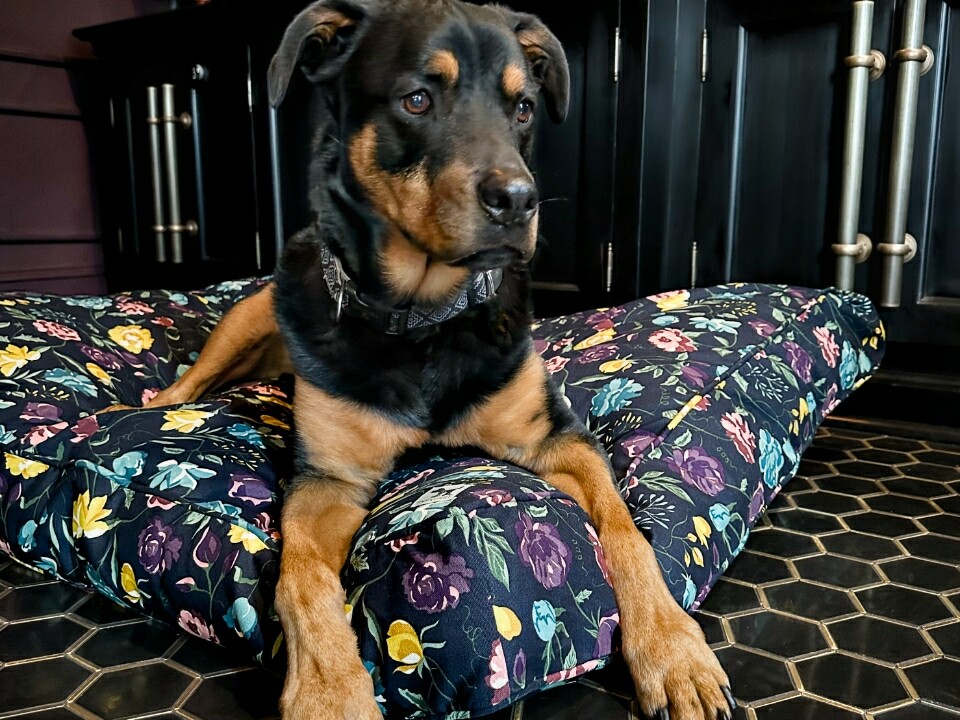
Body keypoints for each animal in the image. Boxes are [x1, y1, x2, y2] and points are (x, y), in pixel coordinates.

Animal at [131, 0, 740, 716]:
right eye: (417, 99)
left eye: (523, 108)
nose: (518, 200)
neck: (423, 317)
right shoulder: (328, 477)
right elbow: (299, 575)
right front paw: (330, 692)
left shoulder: (557, 438)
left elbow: (626, 531)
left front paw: (673, 650)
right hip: (247, 316)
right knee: (185, 383)